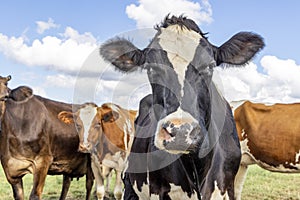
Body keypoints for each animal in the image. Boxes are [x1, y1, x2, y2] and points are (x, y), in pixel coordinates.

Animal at [99, 14, 264, 199]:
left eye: (209, 66)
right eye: (151, 69)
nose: (180, 132)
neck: (196, 165)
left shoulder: (226, 187)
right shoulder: (157, 188)